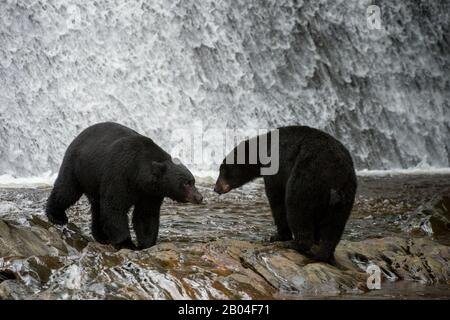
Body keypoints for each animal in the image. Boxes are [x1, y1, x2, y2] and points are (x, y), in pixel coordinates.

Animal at [45, 122, 202, 250]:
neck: (139, 175)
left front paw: (147, 243)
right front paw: (127, 243)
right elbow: (115, 208)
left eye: (193, 181)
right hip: (77, 167)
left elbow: (146, 215)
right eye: (186, 183)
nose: (199, 197)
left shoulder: (150, 193)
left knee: (97, 207)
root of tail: (78, 136)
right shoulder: (120, 174)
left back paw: (102, 236)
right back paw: (57, 216)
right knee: (67, 190)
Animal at [213, 125, 356, 262]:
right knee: (334, 225)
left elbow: (277, 199)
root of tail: (335, 175)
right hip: (345, 193)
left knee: (296, 208)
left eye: (222, 169)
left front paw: (277, 236)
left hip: (306, 177)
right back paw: (325, 254)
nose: (216, 188)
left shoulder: (276, 169)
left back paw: (294, 244)